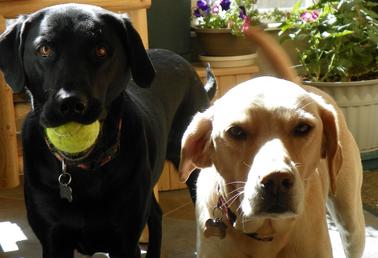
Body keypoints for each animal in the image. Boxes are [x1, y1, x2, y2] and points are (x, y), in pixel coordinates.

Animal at [0, 4, 213, 258]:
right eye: (44, 49)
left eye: (101, 50)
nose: (71, 104)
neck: (83, 170)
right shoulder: (53, 240)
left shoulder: (125, 241)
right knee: (157, 213)